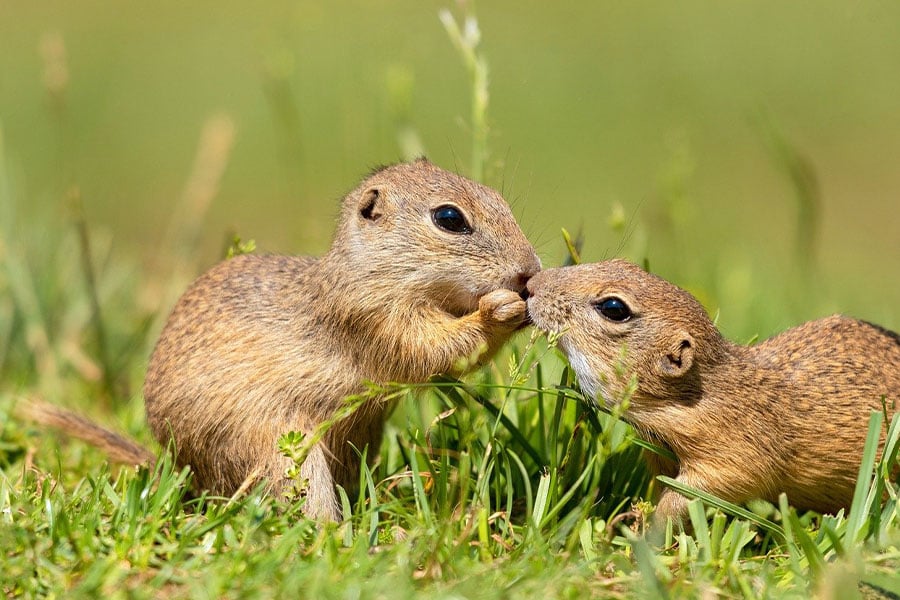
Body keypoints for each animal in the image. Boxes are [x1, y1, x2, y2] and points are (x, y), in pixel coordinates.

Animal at [22, 159, 541, 520]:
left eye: (499, 198)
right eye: (450, 218)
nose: (529, 272)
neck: (370, 270)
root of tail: (191, 478)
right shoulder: (376, 319)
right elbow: (436, 349)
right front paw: (502, 310)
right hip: (281, 452)